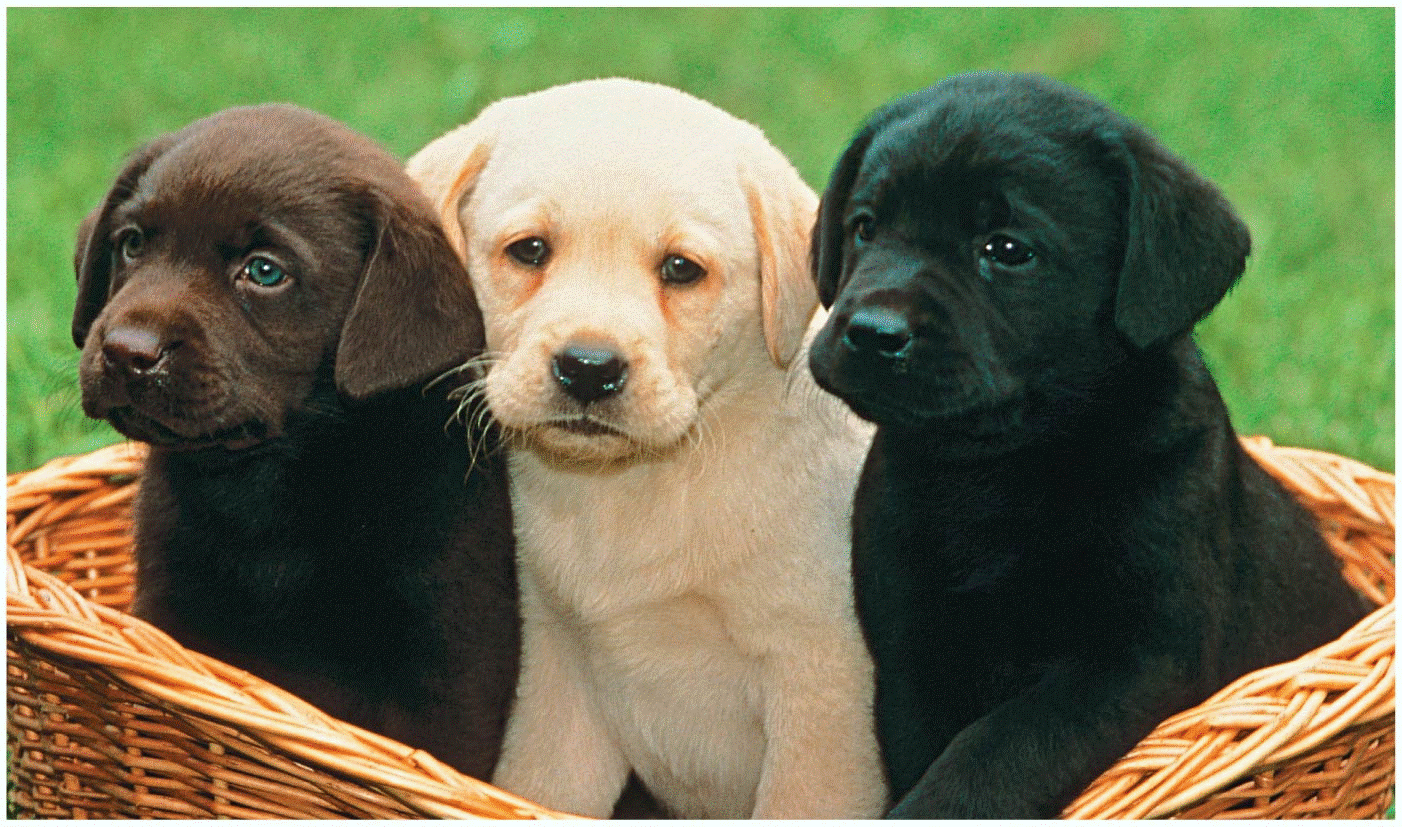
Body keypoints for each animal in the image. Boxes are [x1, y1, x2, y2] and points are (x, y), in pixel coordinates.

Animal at [73, 105, 521, 784]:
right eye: (132, 243)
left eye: (264, 271)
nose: (127, 351)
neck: (275, 482)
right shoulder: (173, 613)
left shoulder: (451, 665)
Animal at [409, 80, 880, 818]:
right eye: (529, 250)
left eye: (682, 269)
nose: (588, 368)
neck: (635, 488)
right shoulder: (558, 676)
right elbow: (535, 788)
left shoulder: (823, 693)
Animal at [813, 72, 1368, 824]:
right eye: (865, 226)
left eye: (1006, 249)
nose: (872, 331)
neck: (1000, 471)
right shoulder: (910, 653)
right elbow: (932, 747)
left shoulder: (1133, 656)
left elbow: (1000, 747)